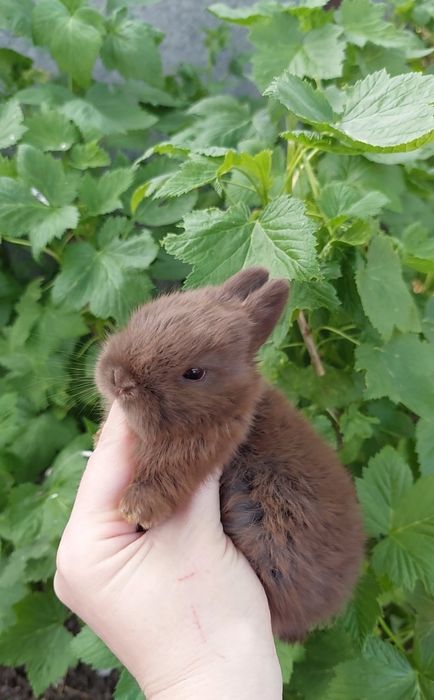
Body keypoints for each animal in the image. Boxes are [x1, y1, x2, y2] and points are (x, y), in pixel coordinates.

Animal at [95, 267, 364, 642]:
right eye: (143, 315)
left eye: (194, 373)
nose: (120, 378)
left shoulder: (201, 449)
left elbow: (164, 474)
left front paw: (136, 507)